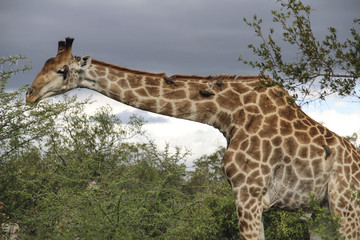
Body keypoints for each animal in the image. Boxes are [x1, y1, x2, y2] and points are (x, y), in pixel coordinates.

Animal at [26, 37, 360, 240]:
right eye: (44, 65)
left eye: (62, 70)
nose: (30, 94)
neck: (227, 114)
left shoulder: (249, 194)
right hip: (318, 212)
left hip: (346, 206)